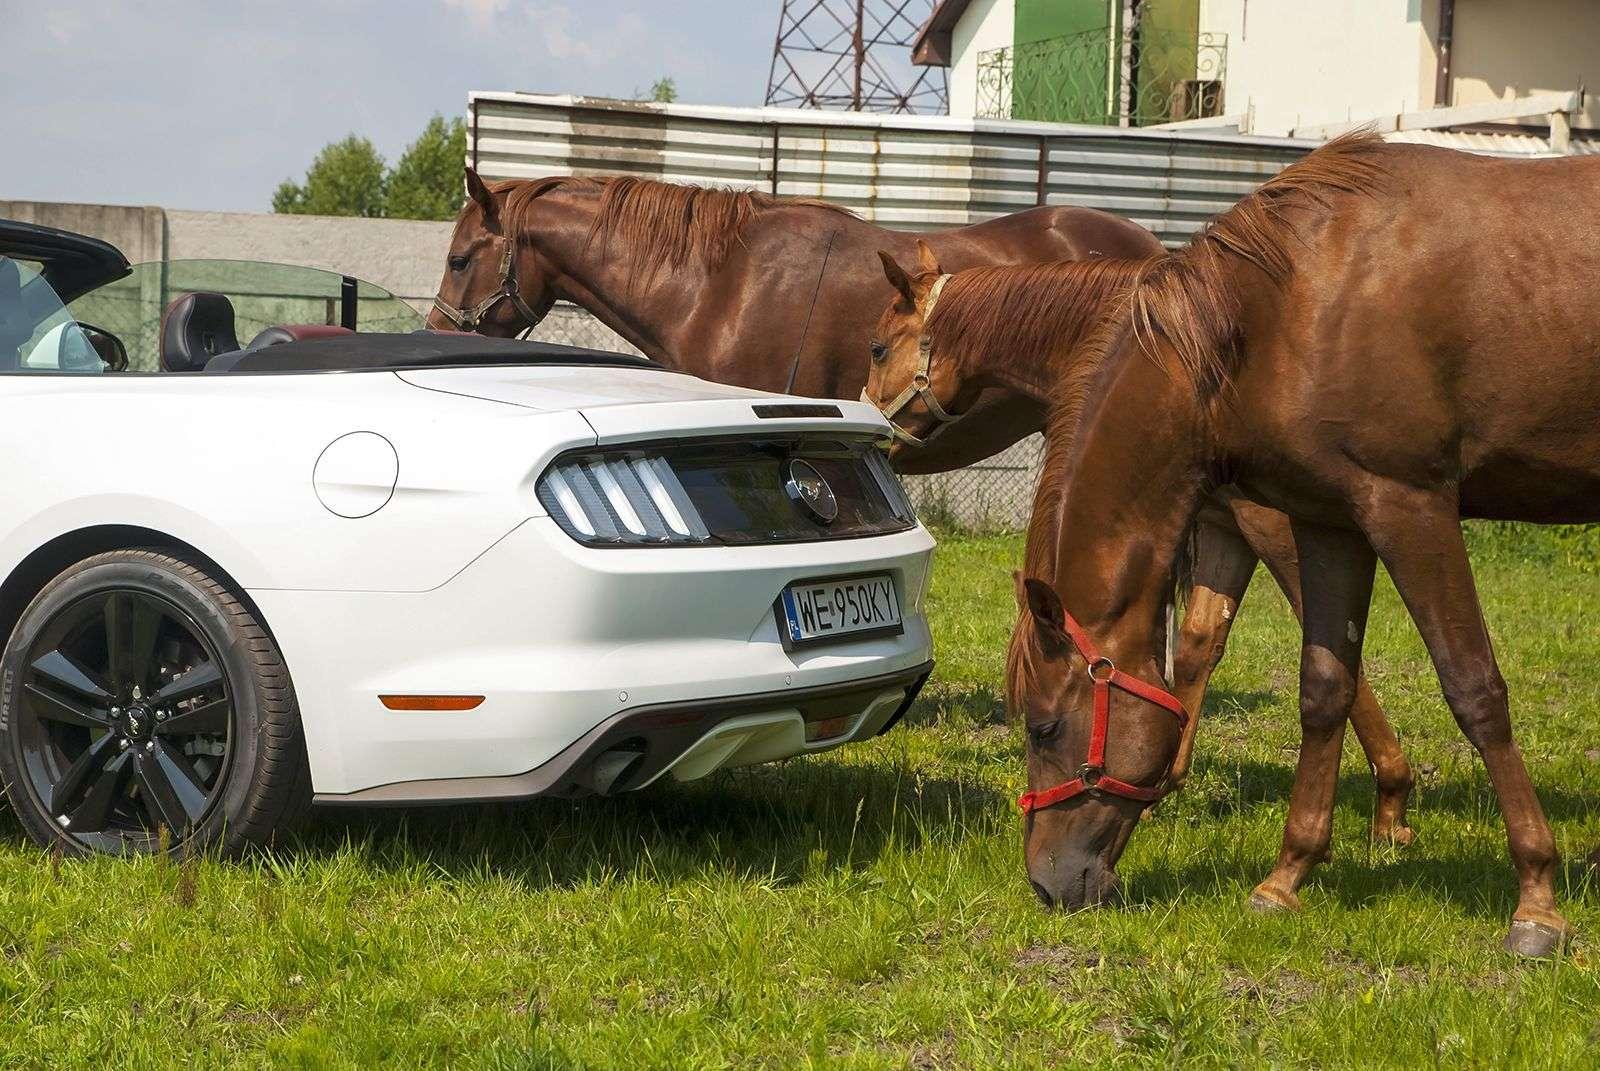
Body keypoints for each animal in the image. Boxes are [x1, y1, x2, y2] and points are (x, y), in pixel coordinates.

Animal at [862, 242, 1414, 842]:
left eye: (877, 347)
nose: (870, 426)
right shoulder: (1223, 525)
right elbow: (1198, 643)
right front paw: (1157, 782)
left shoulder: (1273, 524)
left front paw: (1393, 795)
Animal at [1002, 131, 1599, 957]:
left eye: (1045, 726)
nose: (1045, 881)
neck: (1290, 305)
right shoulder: (1331, 522)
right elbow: (1323, 690)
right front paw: (1287, 875)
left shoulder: (1410, 506)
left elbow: (1474, 688)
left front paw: (1537, 899)